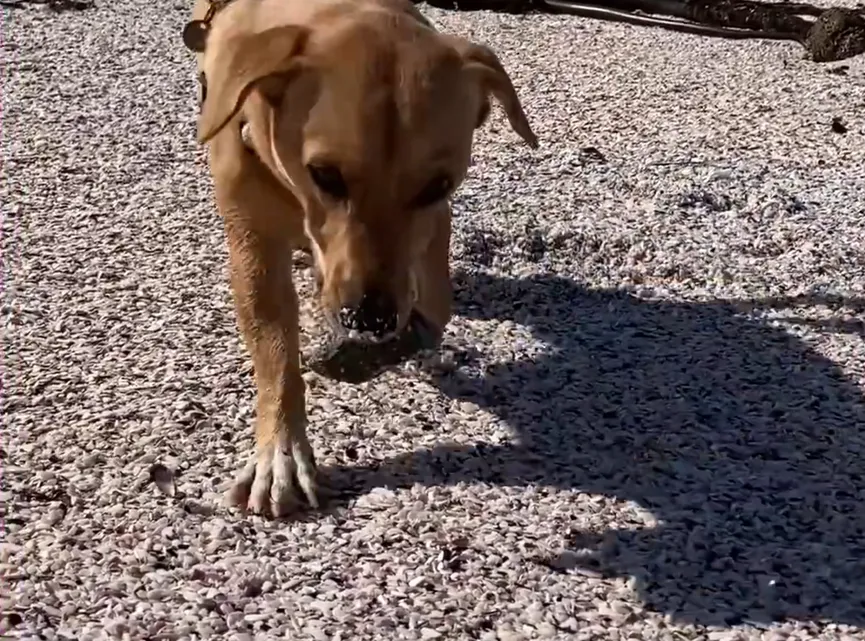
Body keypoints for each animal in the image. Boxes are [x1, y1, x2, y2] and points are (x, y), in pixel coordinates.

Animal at [190, 0, 536, 516]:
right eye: (324, 175)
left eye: (438, 184)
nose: (369, 319)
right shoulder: (253, 239)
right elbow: (275, 349)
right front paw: (281, 452)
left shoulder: (433, 225)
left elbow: (436, 303)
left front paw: (394, 343)